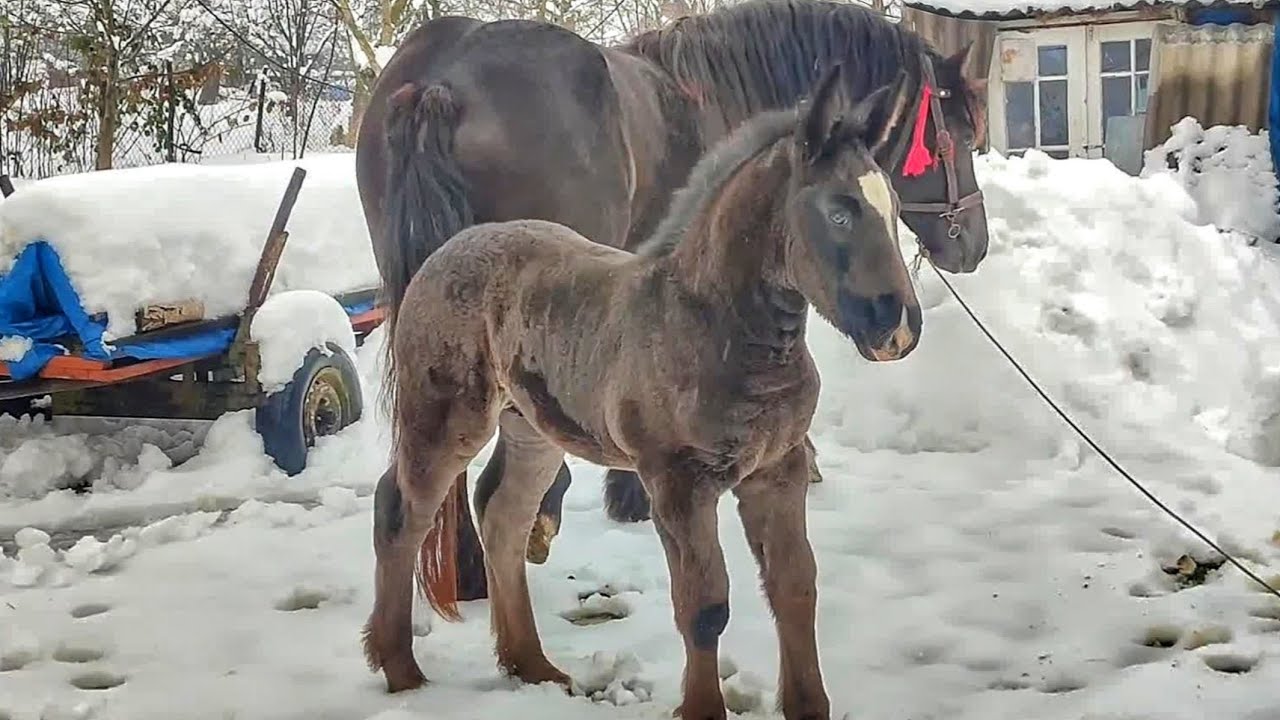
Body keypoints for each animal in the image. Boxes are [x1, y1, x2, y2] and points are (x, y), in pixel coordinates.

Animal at [363, 63, 920, 719]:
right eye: (839, 212)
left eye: (895, 207)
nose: (900, 327)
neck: (718, 328)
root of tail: (448, 248)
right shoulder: (677, 482)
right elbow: (704, 606)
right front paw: (700, 709)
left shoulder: (777, 470)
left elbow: (795, 587)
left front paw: (808, 706)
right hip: (445, 415)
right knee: (402, 511)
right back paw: (401, 669)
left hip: (532, 425)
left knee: (504, 514)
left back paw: (532, 665)